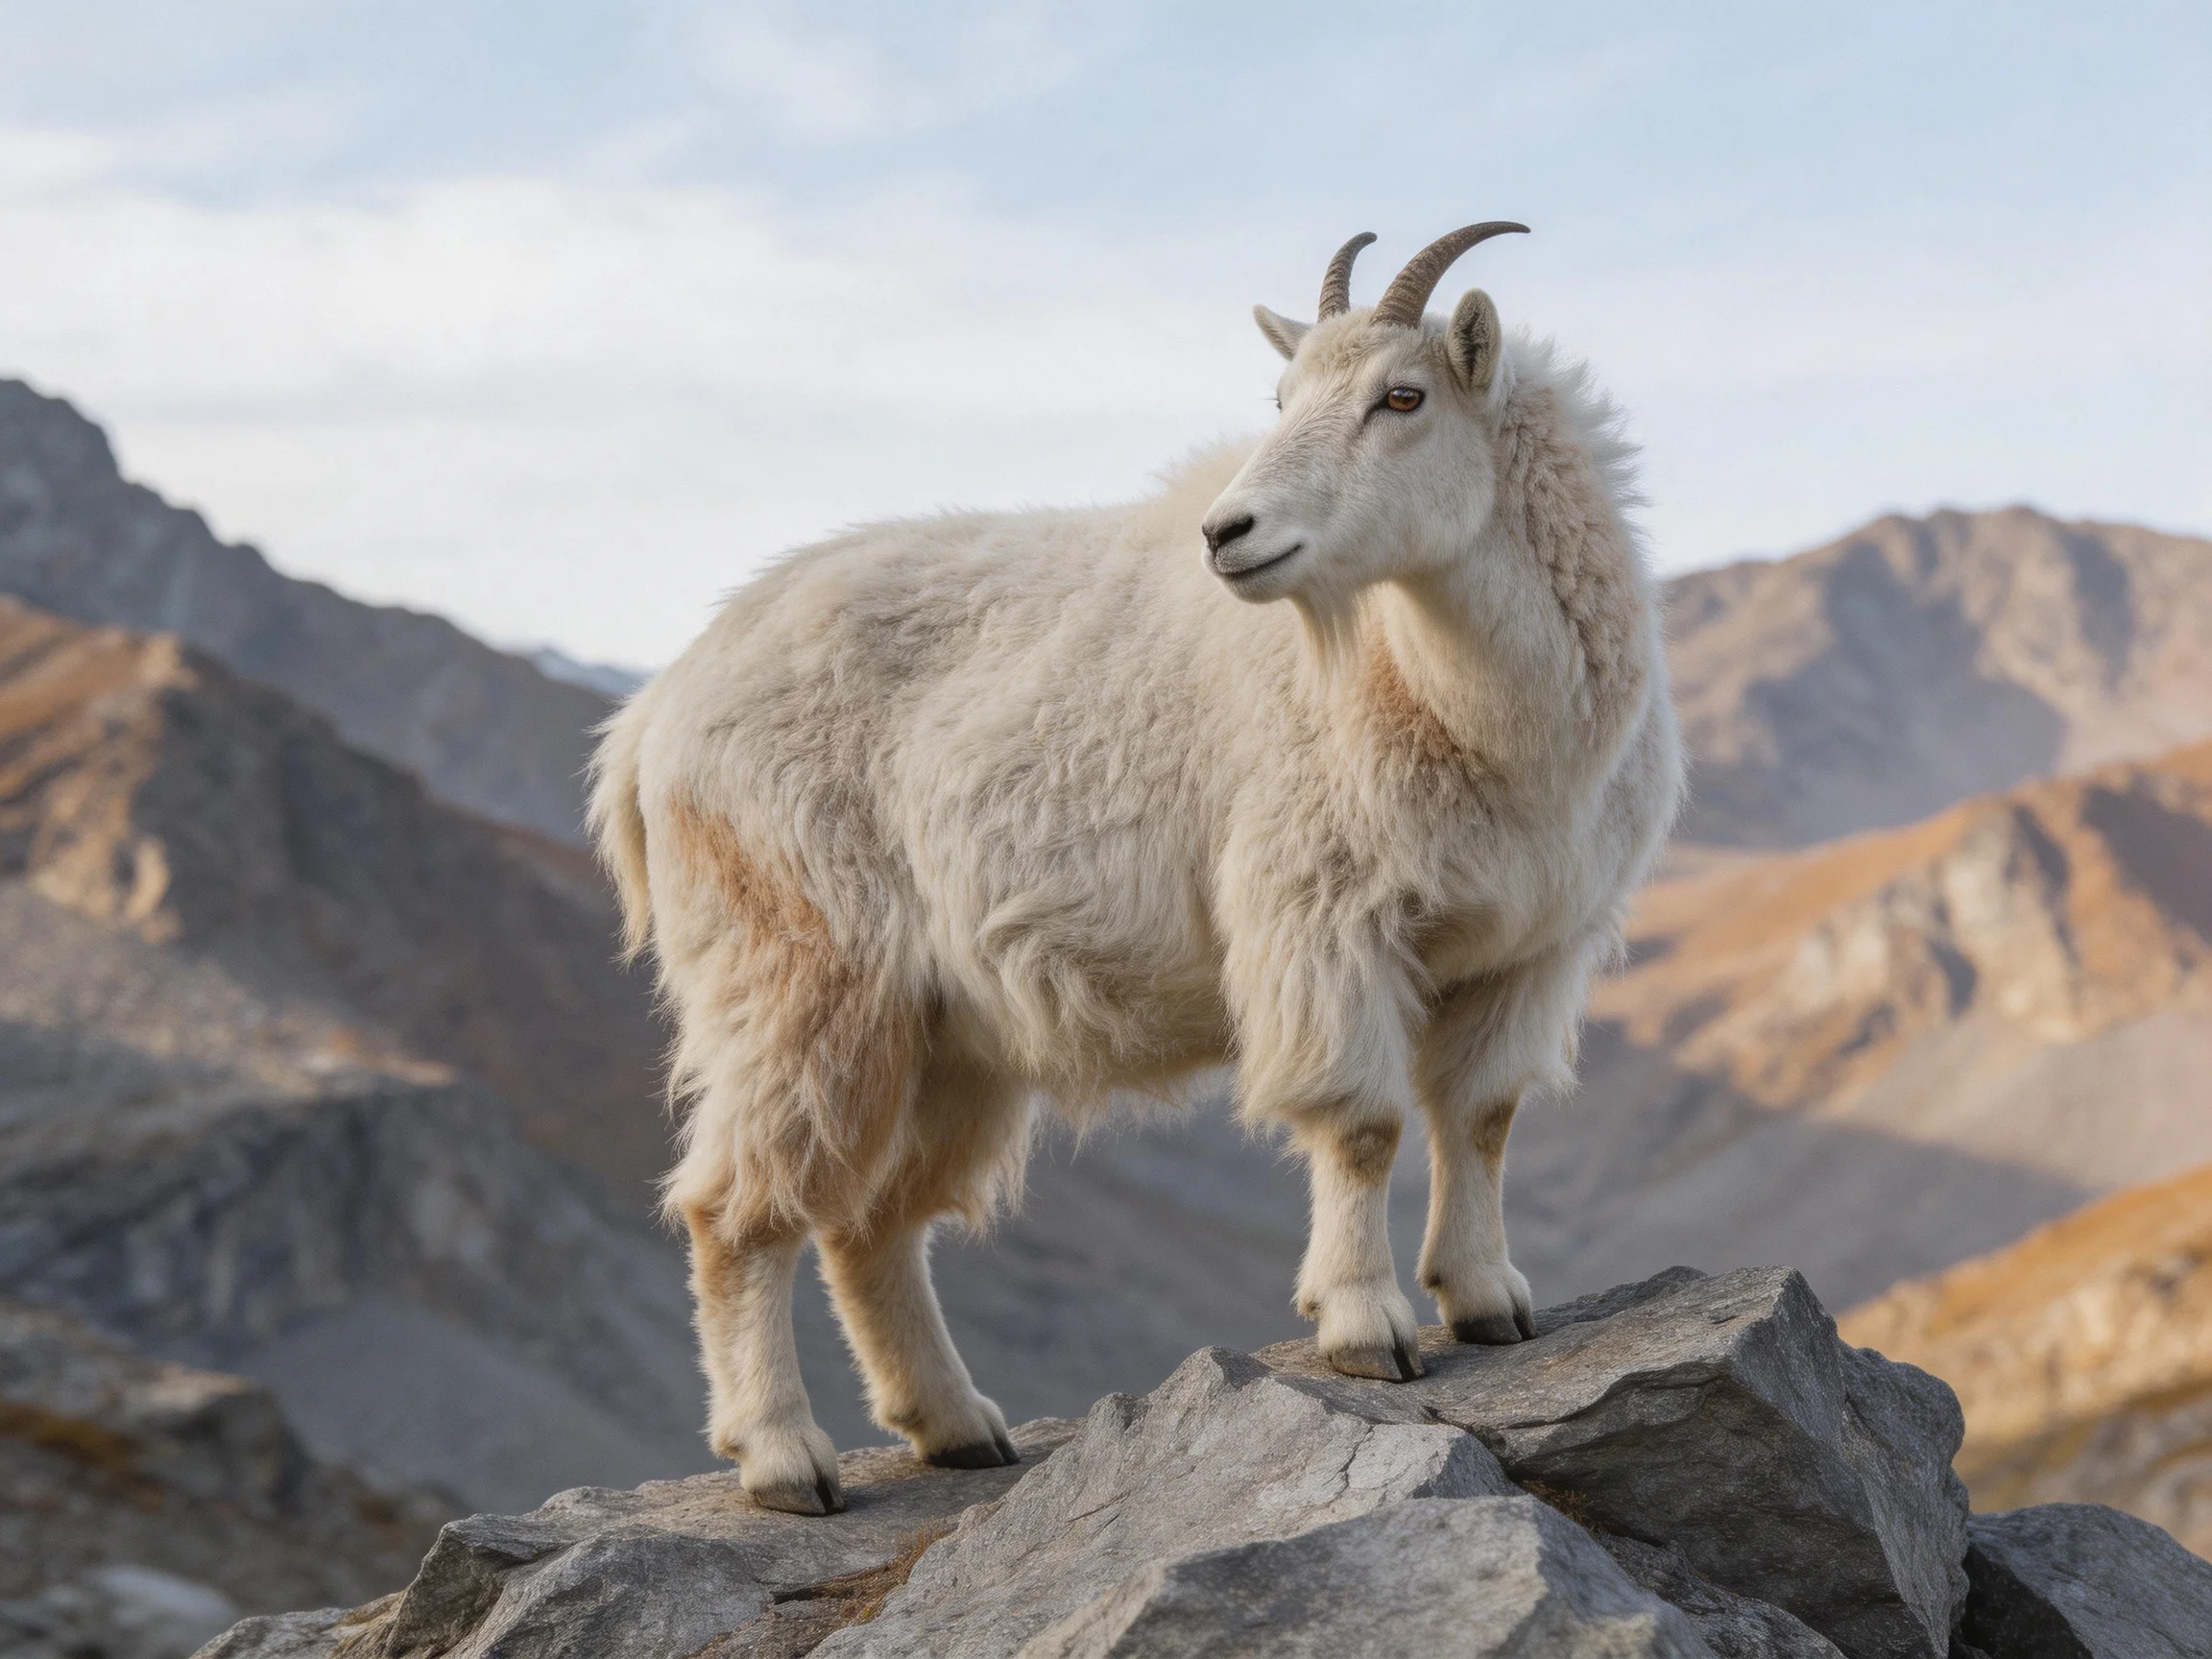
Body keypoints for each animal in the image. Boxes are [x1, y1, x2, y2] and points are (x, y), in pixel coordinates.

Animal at [591, 223, 1683, 1514]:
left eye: (1402, 396)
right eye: (1281, 397)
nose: (1230, 534)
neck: (1472, 708)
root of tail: (654, 716)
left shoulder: (1528, 947)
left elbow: (1483, 1116)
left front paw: (1488, 1301)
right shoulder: (1323, 914)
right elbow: (1362, 1123)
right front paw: (1368, 1327)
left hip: (943, 1030)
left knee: (874, 1222)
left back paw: (957, 1428)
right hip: (794, 968)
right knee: (736, 1206)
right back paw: (783, 1459)